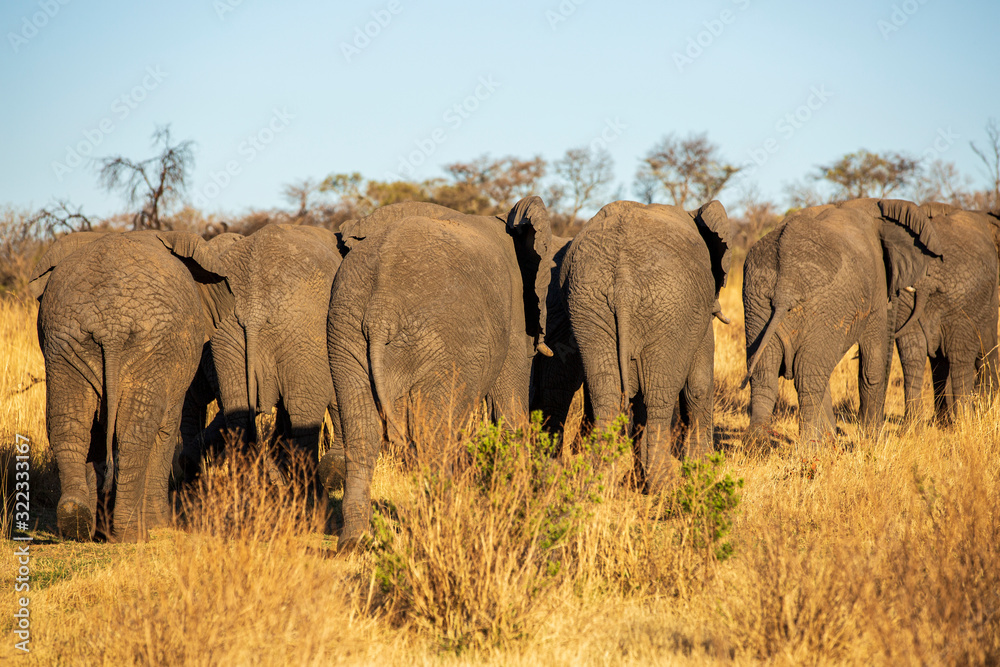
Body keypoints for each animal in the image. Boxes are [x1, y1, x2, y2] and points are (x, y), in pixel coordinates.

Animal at [29, 230, 233, 541]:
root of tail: (110, 328)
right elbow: (166, 430)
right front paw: (159, 525)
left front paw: (100, 530)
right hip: (153, 348)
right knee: (135, 433)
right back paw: (130, 534)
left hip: (64, 340)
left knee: (70, 423)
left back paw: (77, 520)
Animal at [324, 197, 555, 549]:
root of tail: (381, 310)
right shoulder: (514, 316)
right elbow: (510, 409)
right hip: (444, 342)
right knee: (431, 434)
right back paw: (446, 530)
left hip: (344, 328)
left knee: (361, 427)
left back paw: (355, 542)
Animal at [555, 200, 733, 492]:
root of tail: (623, 281)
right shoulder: (699, 315)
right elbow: (698, 385)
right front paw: (703, 471)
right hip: (671, 309)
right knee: (658, 398)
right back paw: (665, 487)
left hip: (586, 302)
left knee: (606, 394)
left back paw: (597, 483)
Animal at [742, 198, 943, 443]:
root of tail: (785, 287)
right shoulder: (876, 284)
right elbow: (873, 361)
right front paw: (872, 440)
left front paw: (831, 439)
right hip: (824, 302)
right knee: (806, 374)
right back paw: (807, 447)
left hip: (757, 297)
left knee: (766, 370)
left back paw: (759, 444)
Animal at [892, 202, 1000, 424]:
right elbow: (987, 348)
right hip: (966, 294)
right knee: (961, 356)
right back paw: (964, 422)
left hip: (908, 298)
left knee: (912, 352)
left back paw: (914, 426)